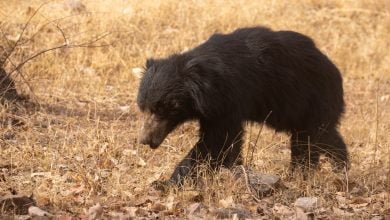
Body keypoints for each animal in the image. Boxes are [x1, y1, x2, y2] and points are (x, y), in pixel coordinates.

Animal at [136, 25, 348, 185]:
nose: (145, 140)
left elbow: (217, 142)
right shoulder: (212, 109)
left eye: (163, 110)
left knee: (310, 139)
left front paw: (168, 183)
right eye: (144, 108)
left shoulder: (228, 100)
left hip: (312, 99)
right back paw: (339, 166)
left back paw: (308, 172)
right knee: (321, 137)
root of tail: (334, 70)